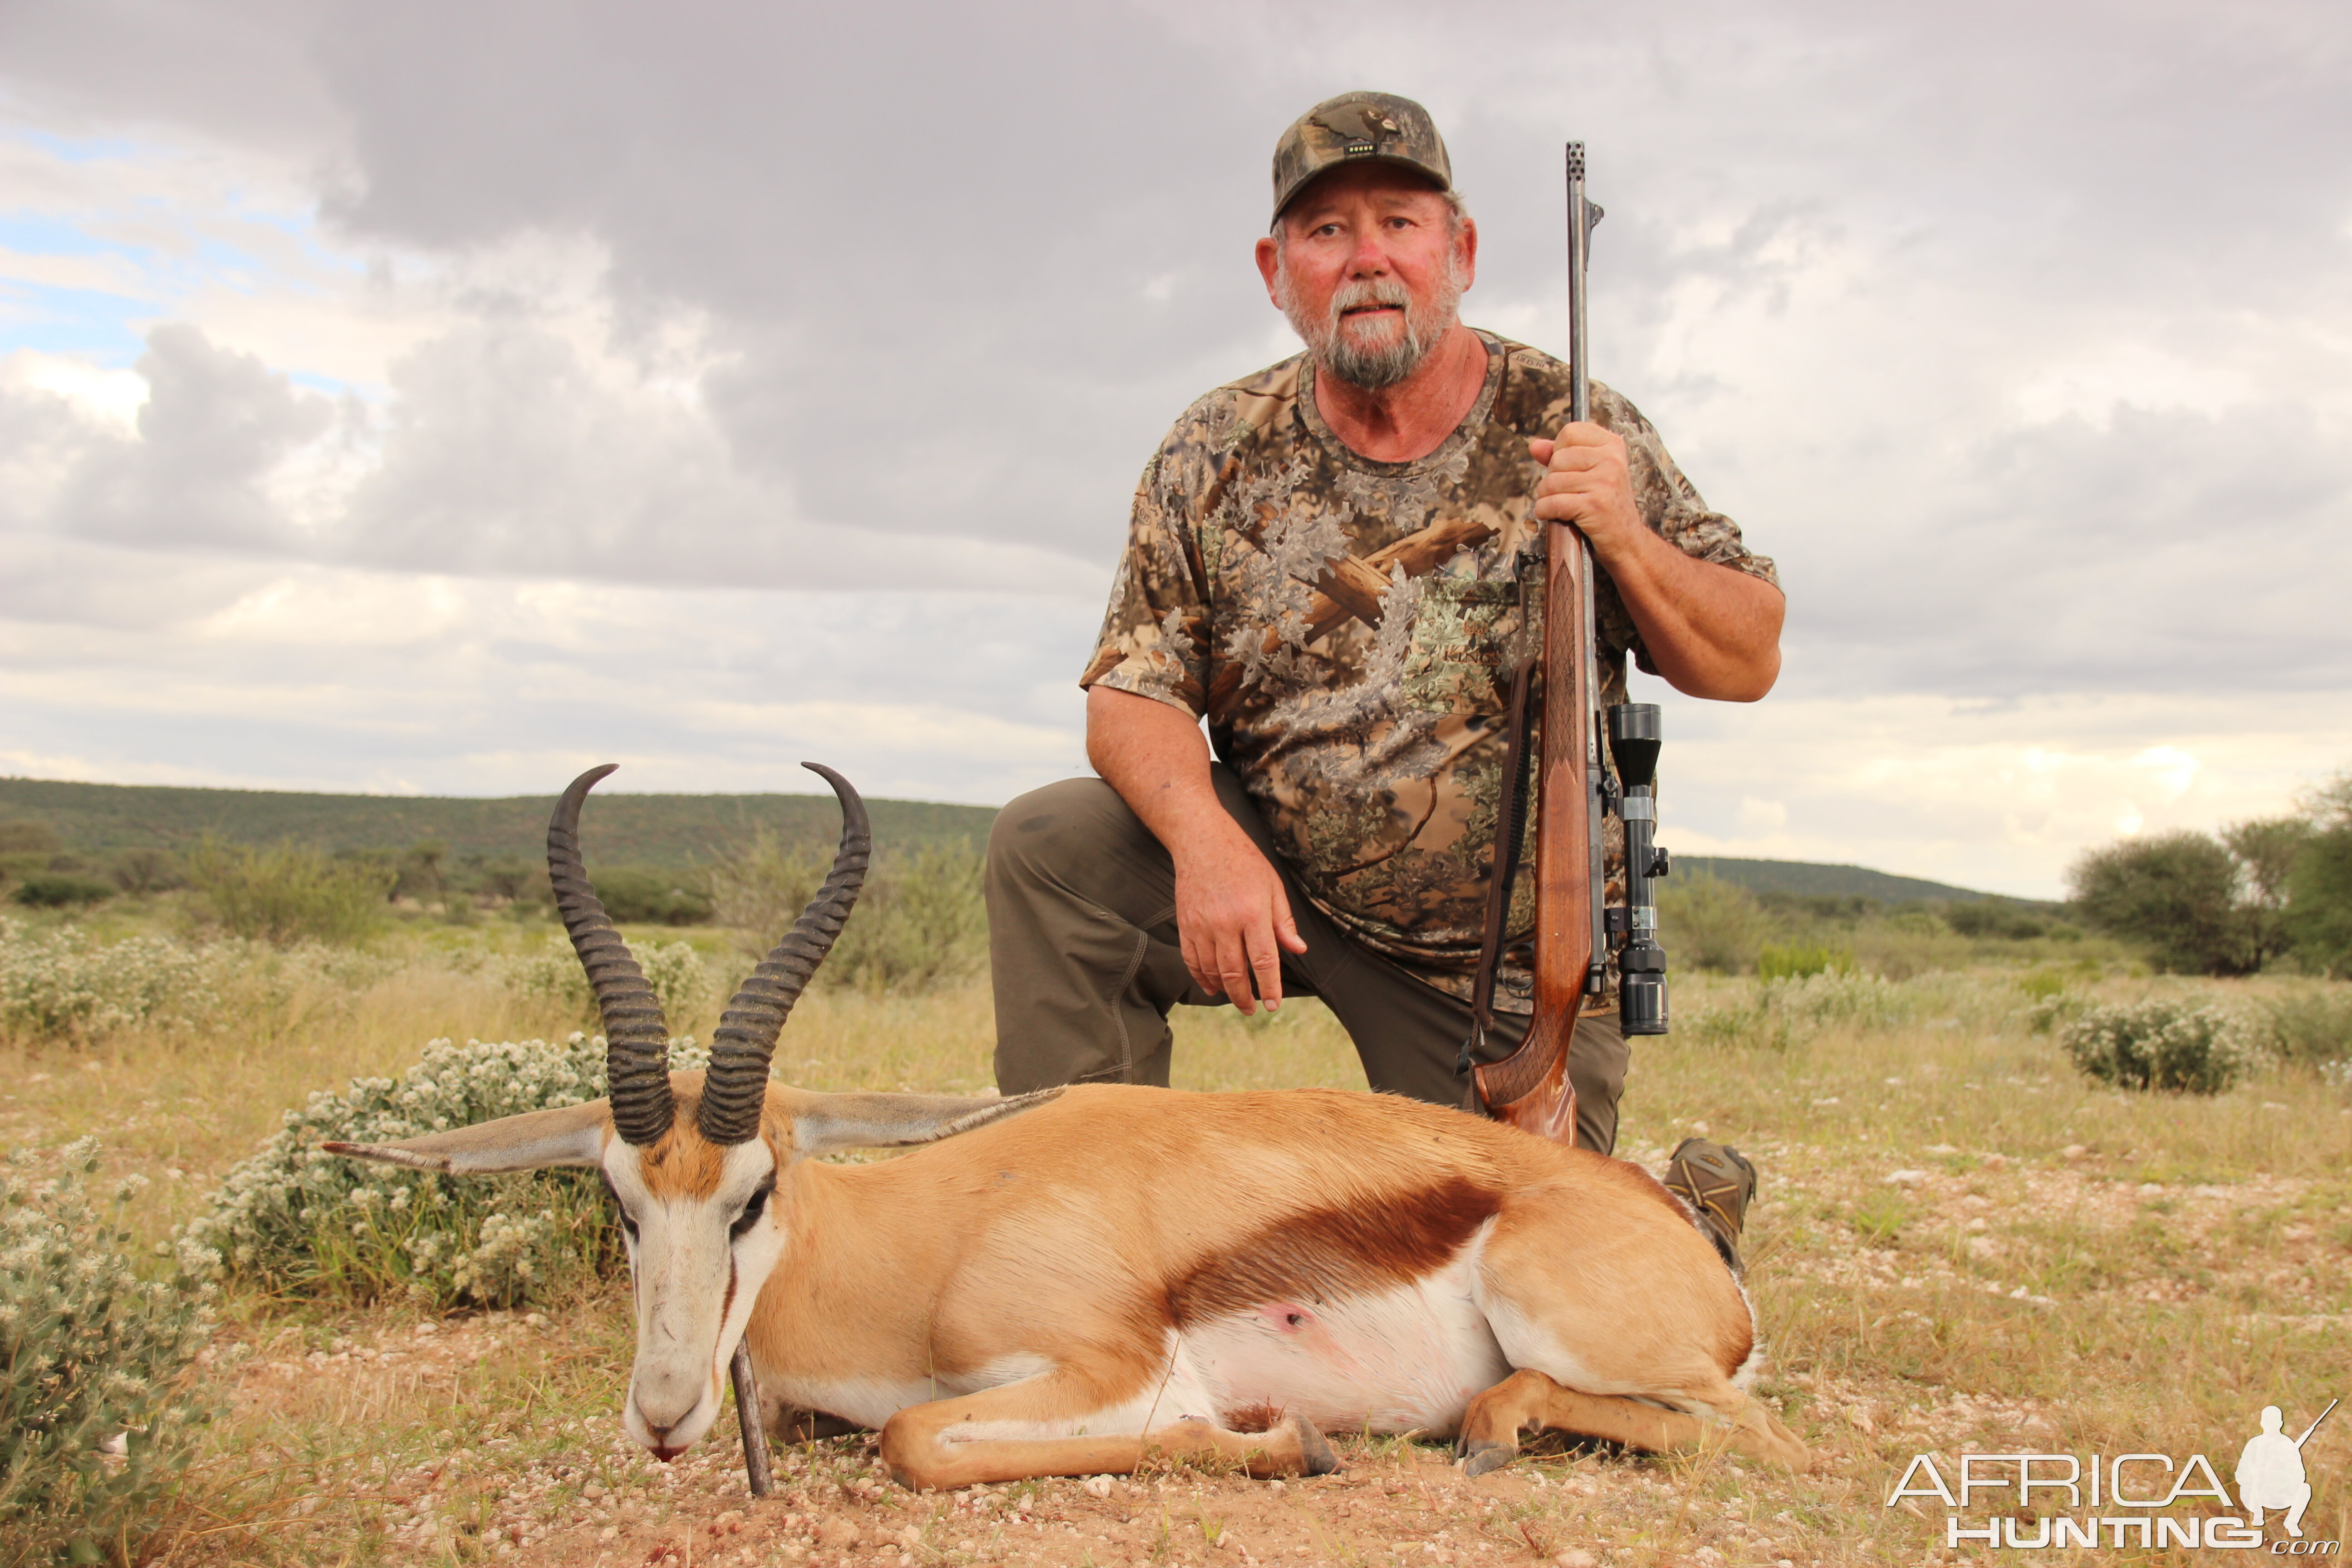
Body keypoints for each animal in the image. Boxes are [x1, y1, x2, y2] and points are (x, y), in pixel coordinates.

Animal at [327, 766, 1797, 1495]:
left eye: (753, 1192)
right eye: (620, 1202)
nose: (665, 1410)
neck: (927, 1238)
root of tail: (1686, 1237)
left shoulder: (1110, 1366)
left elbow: (917, 1442)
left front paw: (1288, 1445)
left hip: (1582, 1330)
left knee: (1744, 1429)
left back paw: (1485, 1430)